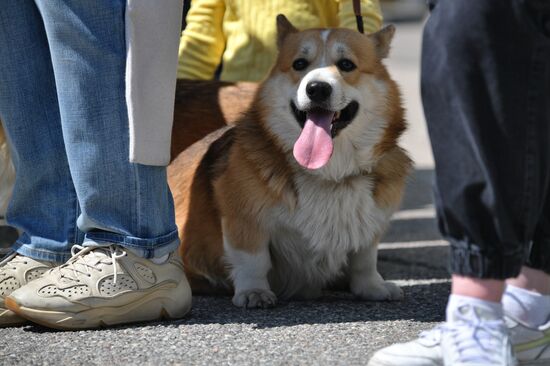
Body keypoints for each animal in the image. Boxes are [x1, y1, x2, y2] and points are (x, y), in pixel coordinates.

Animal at [169, 14, 414, 308]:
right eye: (299, 64)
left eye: (346, 64)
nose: (317, 89)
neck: (328, 175)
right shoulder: (243, 217)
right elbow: (253, 260)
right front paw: (254, 292)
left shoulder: (369, 224)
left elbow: (364, 259)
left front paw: (372, 287)